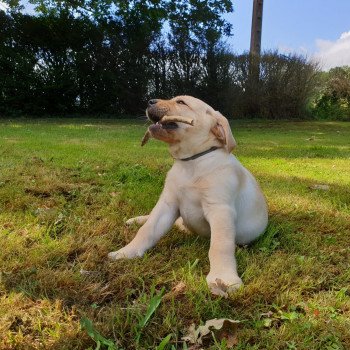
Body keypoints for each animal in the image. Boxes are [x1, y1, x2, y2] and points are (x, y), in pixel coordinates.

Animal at [109, 95, 268, 296]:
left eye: (181, 102)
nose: (150, 101)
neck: (192, 162)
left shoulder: (220, 210)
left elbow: (220, 246)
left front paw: (223, 278)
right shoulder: (167, 204)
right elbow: (147, 229)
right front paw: (127, 252)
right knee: (152, 219)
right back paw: (136, 220)